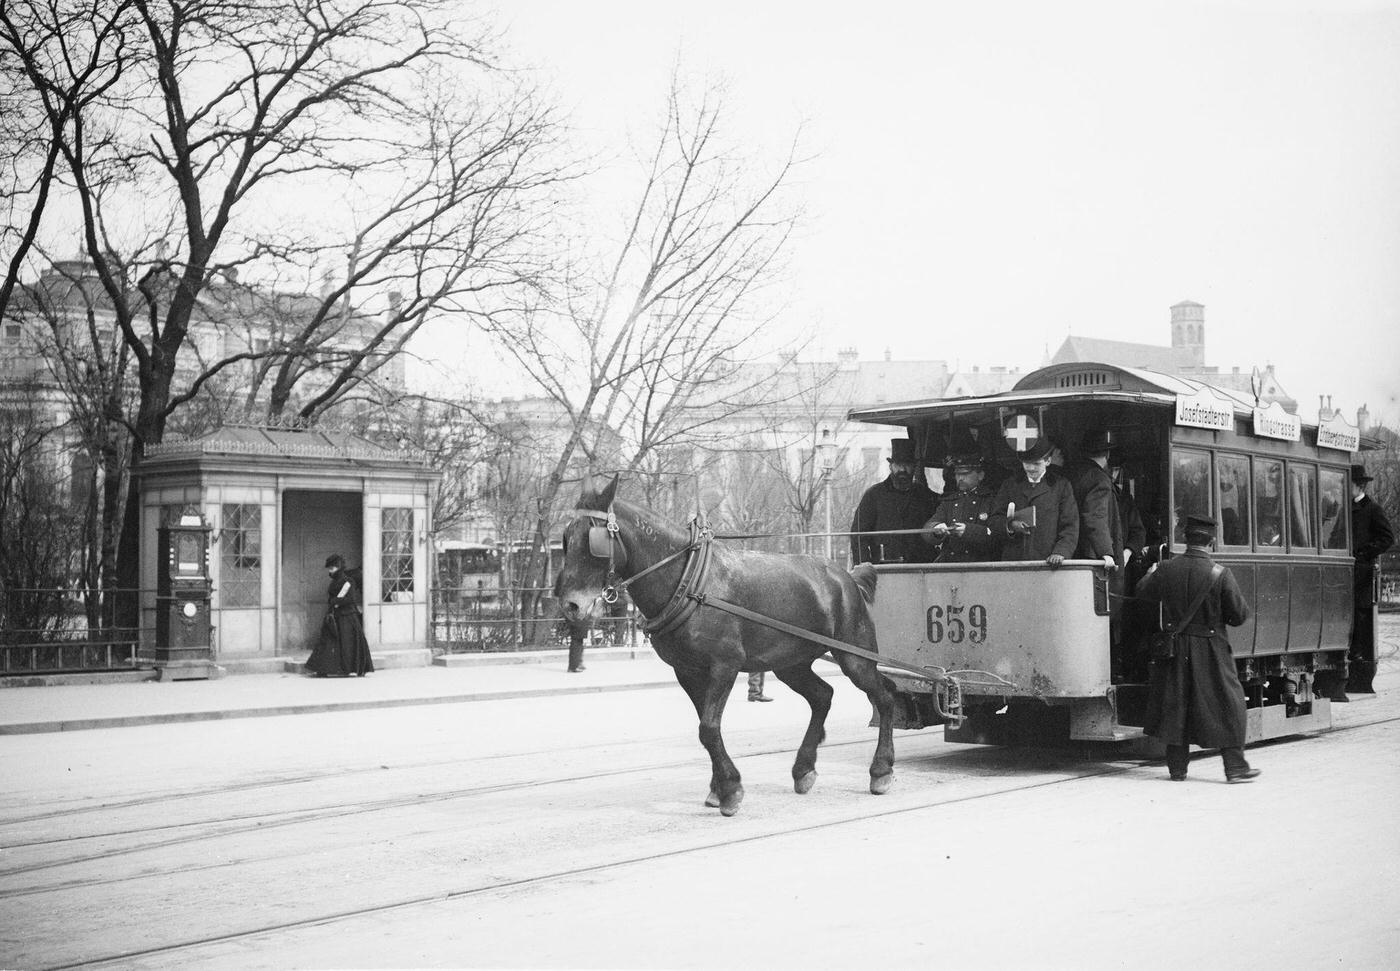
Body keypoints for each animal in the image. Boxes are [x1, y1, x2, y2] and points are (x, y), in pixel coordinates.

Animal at [557, 475, 896, 817]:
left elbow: (708, 727)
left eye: (591, 540)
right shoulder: (688, 671)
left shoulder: (724, 665)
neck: (688, 581)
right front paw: (718, 788)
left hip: (854, 656)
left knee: (883, 696)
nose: (571, 605)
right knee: (822, 696)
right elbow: (708, 727)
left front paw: (730, 790)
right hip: (791, 663)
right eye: (566, 538)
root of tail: (847, 576)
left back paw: (880, 770)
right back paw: (804, 768)